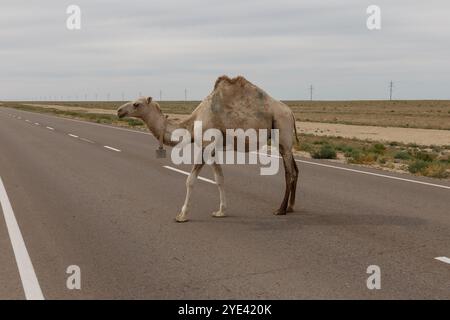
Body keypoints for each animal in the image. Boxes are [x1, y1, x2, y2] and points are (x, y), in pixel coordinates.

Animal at [118, 76, 298, 221]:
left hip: (282, 128)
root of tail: (290, 112)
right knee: (295, 169)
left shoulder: (206, 145)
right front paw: (221, 211)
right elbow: (219, 179)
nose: (119, 111)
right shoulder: (212, 149)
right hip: (283, 138)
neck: (192, 124)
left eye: (136, 104)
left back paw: (280, 209)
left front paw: (182, 215)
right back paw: (290, 207)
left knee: (288, 172)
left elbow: (190, 180)